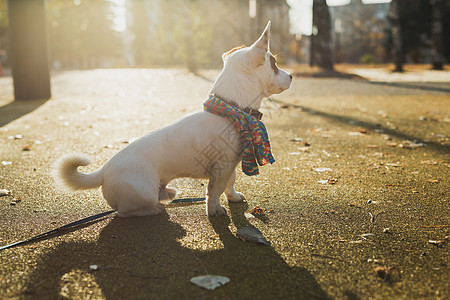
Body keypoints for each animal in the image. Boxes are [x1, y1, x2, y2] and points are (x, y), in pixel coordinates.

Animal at [54, 21, 292, 218]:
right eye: (274, 63)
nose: (290, 75)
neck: (231, 110)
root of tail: (104, 170)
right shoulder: (221, 167)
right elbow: (213, 191)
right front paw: (214, 209)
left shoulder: (229, 166)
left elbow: (229, 183)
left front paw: (233, 197)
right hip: (143, 192)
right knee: (125, 212)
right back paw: (155, 209)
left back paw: (167, 194)